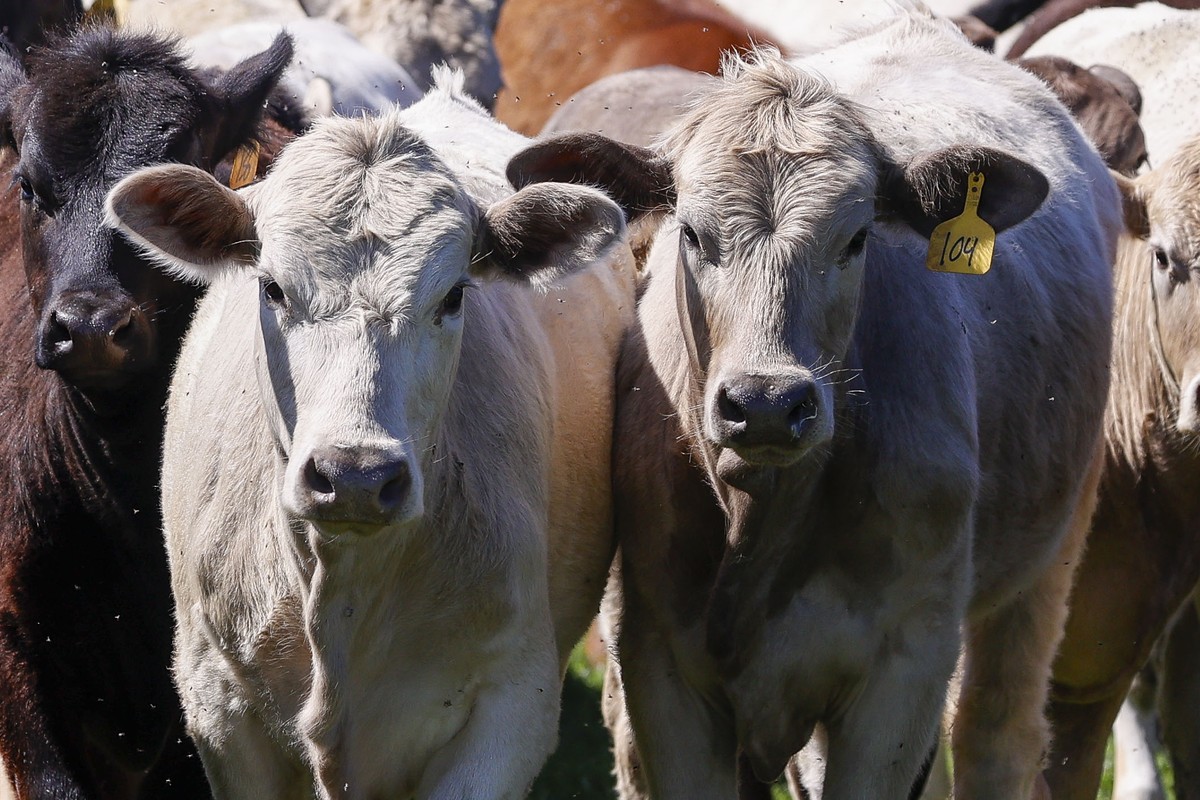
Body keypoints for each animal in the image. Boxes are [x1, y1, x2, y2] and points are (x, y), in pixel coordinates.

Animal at [508, 7, 1120, 798]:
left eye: (856, 238)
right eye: (691, 233)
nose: (767, 403)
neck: (767, 517)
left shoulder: (903, 674)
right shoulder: (660, 668)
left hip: (1044, 567)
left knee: (998, 735)